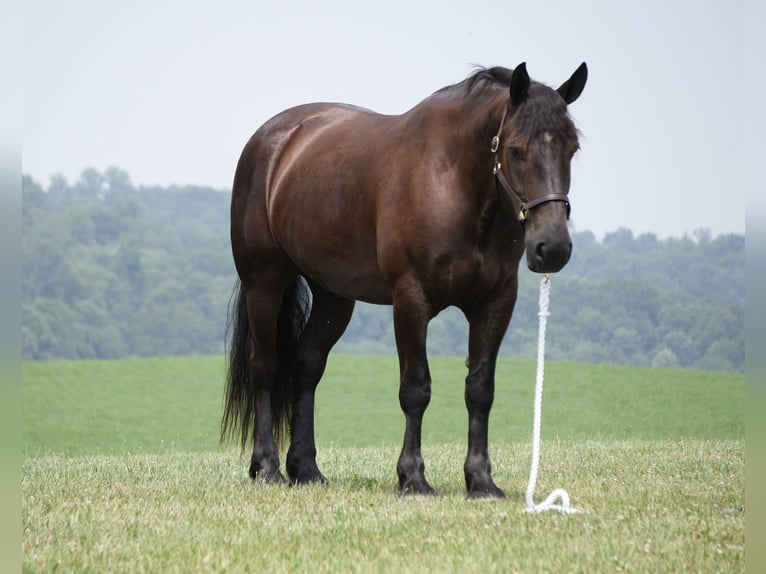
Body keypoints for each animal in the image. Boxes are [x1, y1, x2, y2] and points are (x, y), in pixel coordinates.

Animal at [222, 62, 588, 498]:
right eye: (515, 149)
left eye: (572, 149)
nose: (553, 247)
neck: (452, 183)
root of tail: (274, 139)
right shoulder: (411, 299)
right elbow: (416, 389)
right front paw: (413, 478)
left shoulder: (496, 302)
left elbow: (480, 390)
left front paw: (481, 481)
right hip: (265, 280)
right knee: (266, 365)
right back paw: (267, 468)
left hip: (334, 296)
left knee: (306, 367)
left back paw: (306, 469)